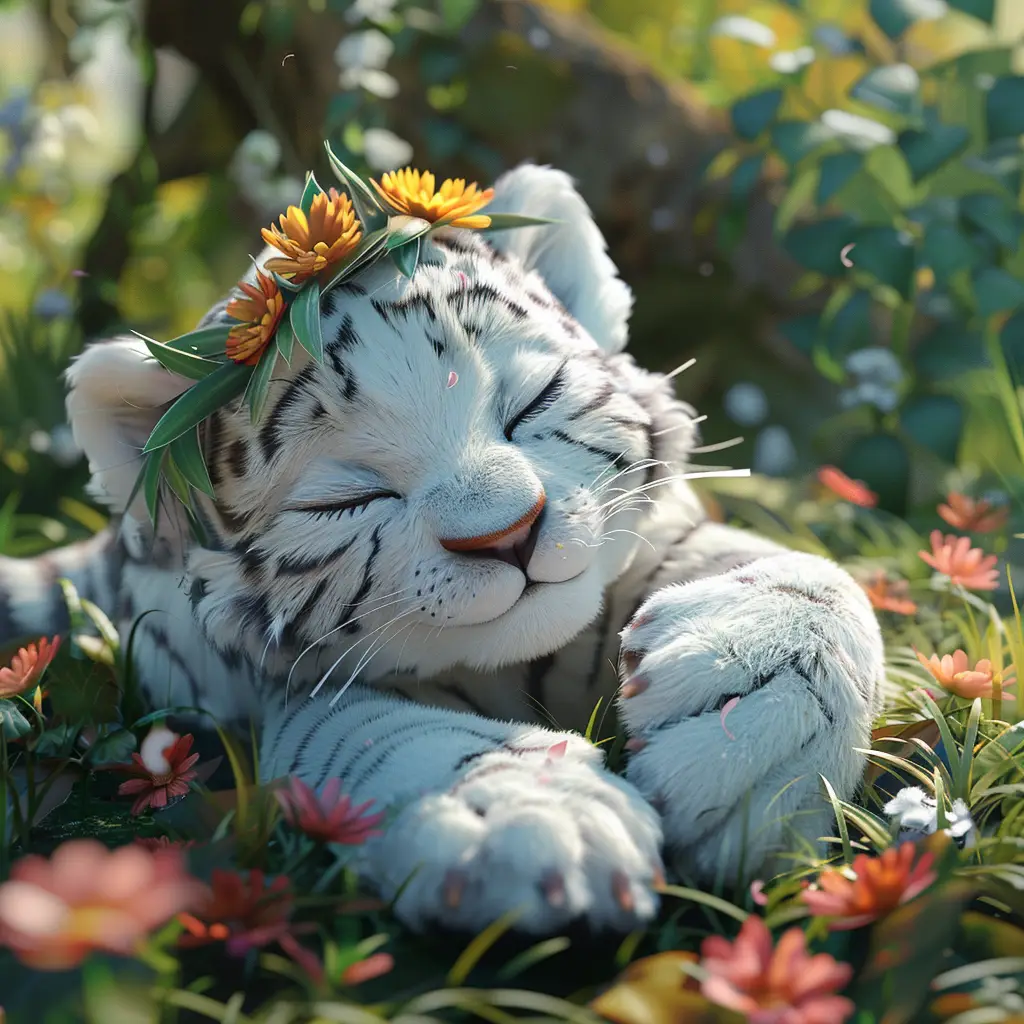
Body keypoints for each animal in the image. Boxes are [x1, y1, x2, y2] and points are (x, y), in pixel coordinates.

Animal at [0, 163, 884, 935]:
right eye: (350, 498)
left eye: (533, 402)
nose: (509, 533)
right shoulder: (294, 690)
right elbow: (388, 735)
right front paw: (532, 816)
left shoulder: (657, 541)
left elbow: (817, 580)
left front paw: (755, 727)